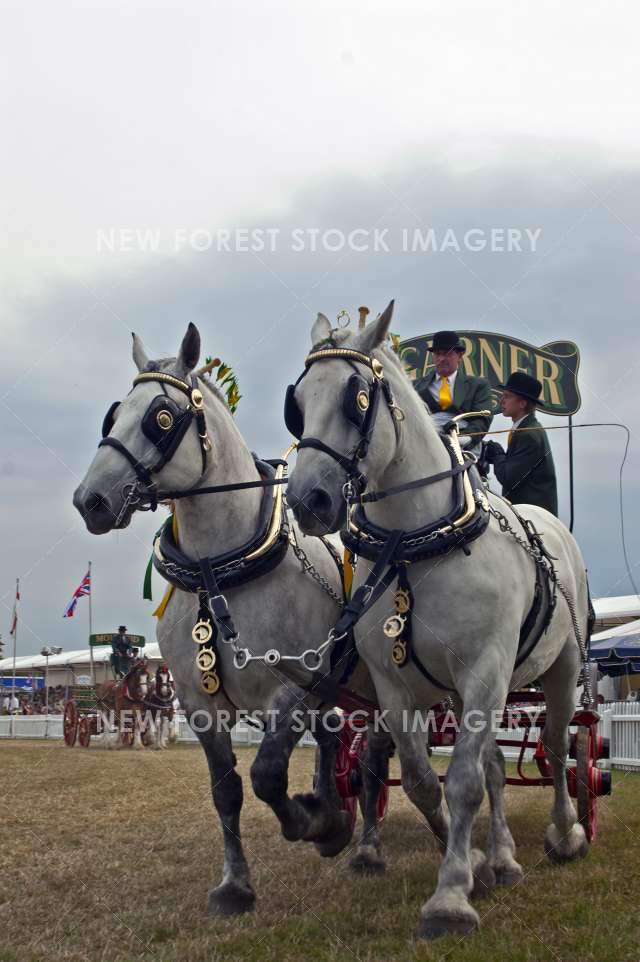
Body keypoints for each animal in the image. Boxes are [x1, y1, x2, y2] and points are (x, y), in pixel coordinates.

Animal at [74, 322, 380, 916]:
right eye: (114, 413)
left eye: (161, 417)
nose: (89, 500)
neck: (218, 572)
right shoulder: (200, 706)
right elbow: (229, 792)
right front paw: (237, 884)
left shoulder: (293, 686)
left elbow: (267, 775)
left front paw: (313, 823)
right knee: (335, 740)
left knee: (378, 758)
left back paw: (368, 847)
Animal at [284, 302, 592, 936]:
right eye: (297, 400)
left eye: (358, 397)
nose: (308, 501)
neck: (414, 543)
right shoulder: (396, 686)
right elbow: (425, 781)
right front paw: (471, 861)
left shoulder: (485, 669)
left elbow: (467, 781)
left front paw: (451, 895)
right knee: (497, 763)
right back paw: (503, 857)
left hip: (559, 671)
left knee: (554, 746)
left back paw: (566, 833)